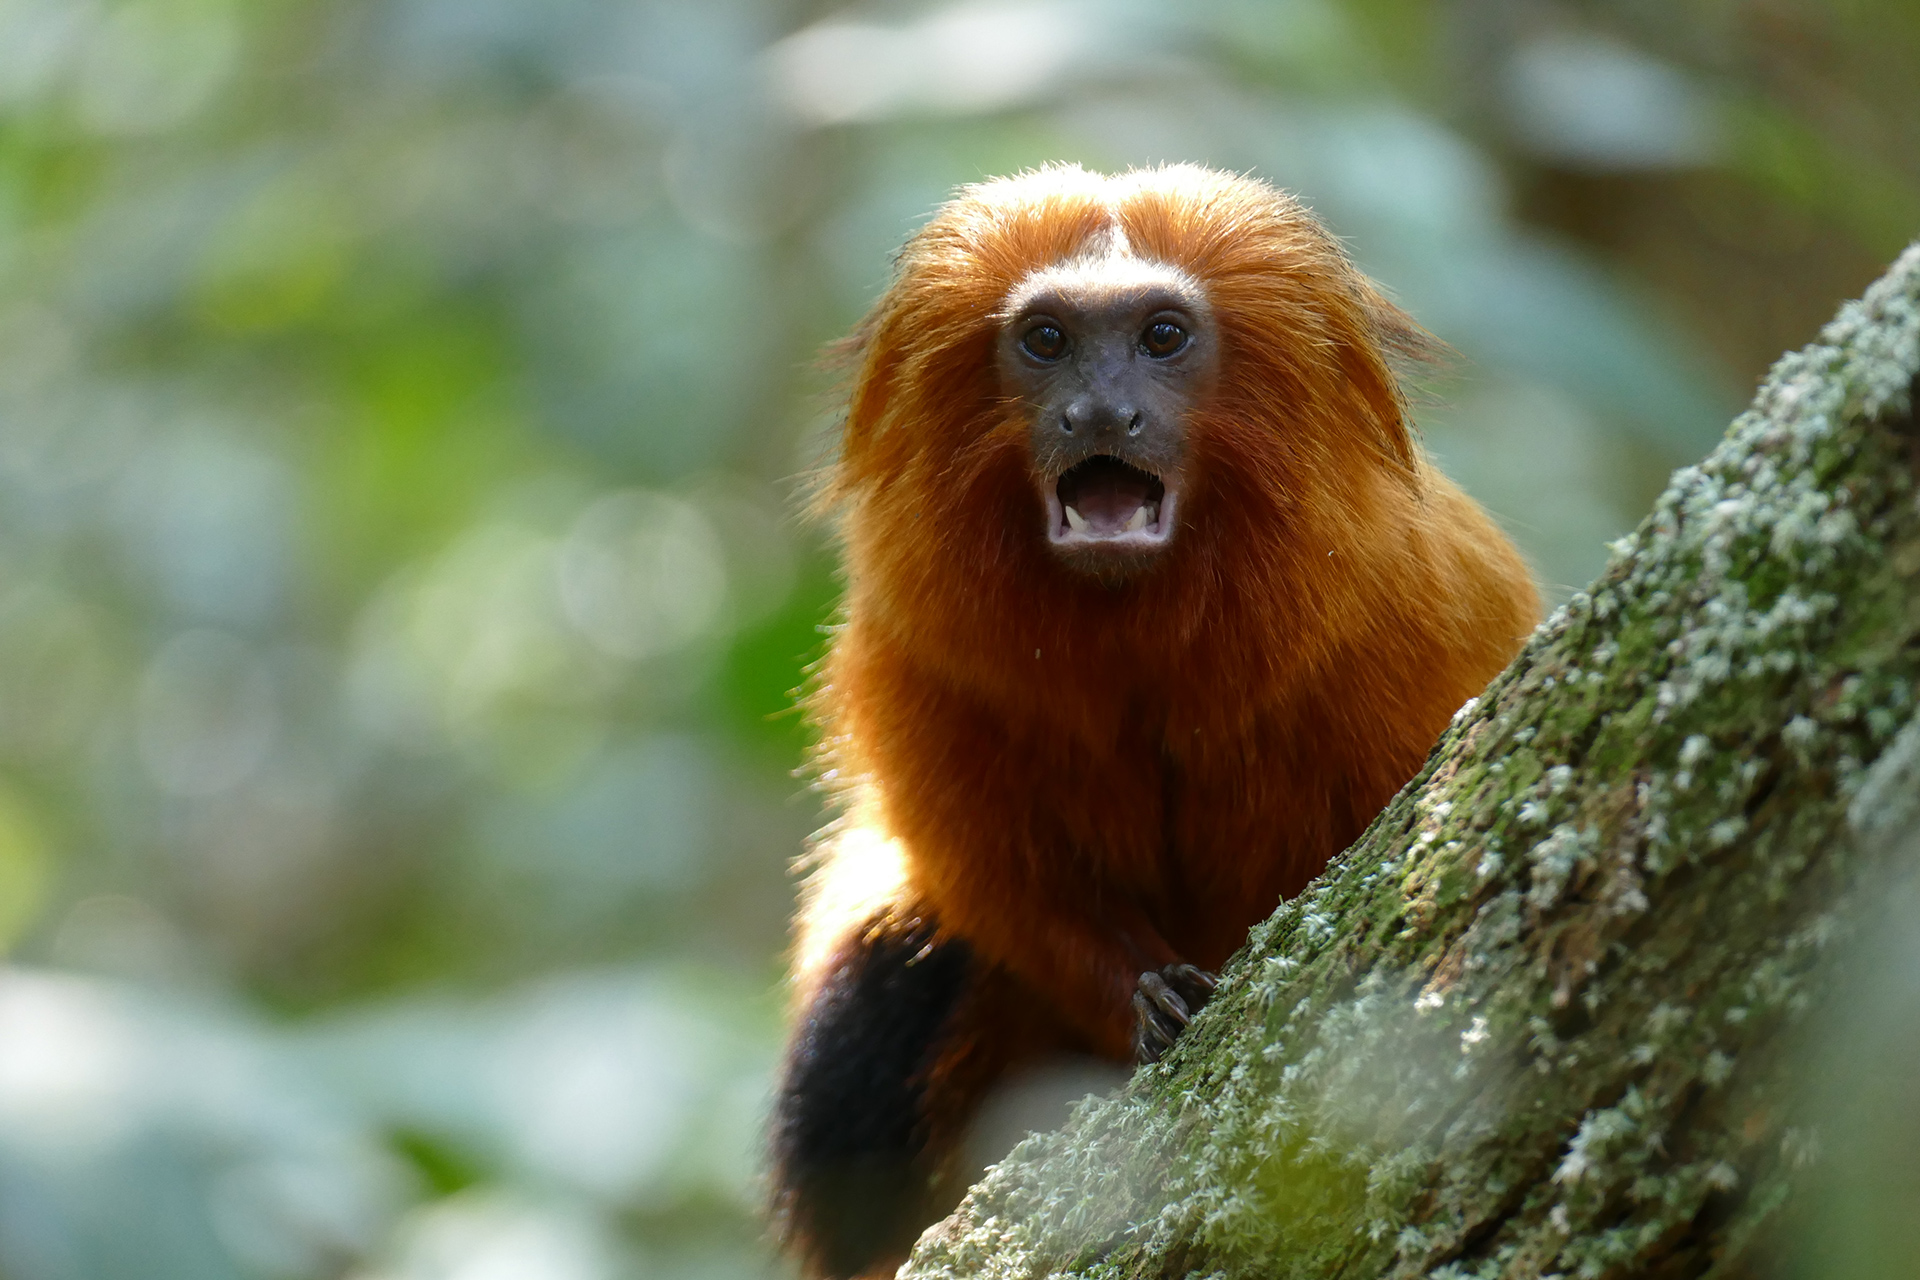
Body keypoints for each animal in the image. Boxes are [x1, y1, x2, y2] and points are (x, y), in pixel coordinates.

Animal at [771, 165, 1536, 1274]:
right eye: (1048, 341)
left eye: (1162, 337)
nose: (1103, 410)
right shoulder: (913, 655)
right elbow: (992, 880)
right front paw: (1147, 996)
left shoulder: (1421, 608)